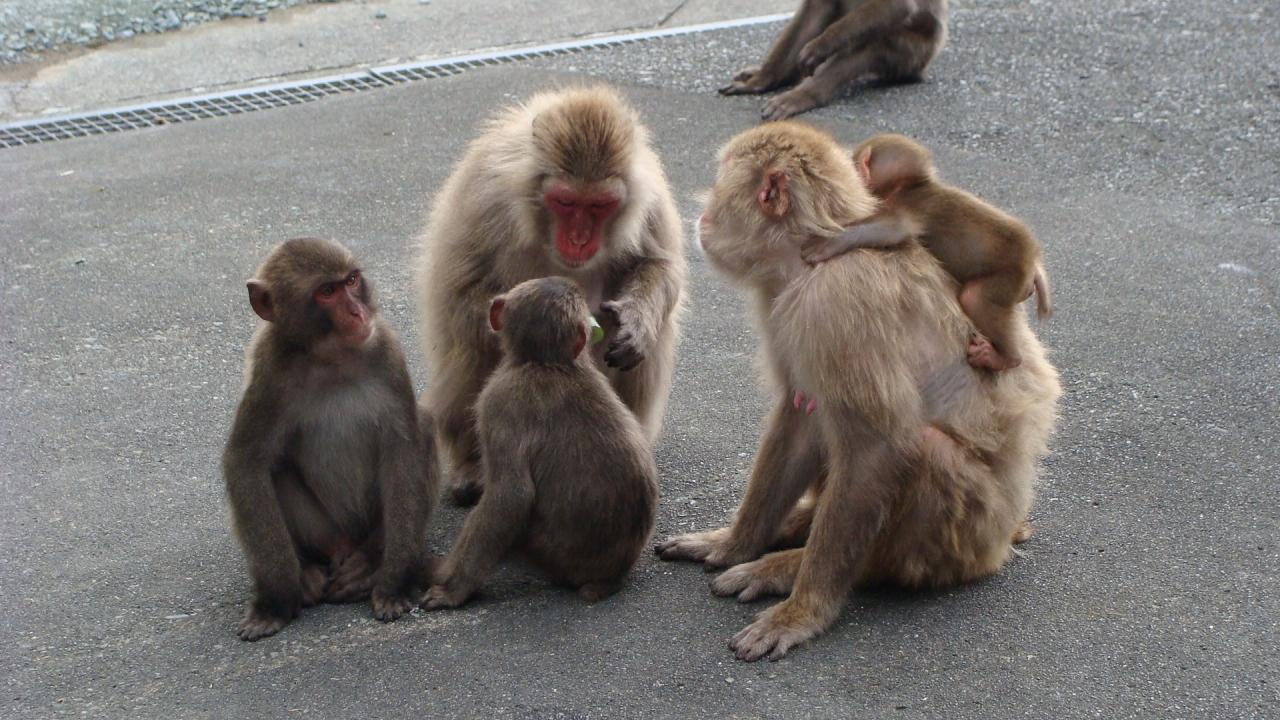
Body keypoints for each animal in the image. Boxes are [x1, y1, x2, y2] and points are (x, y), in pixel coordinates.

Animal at [222, 238, 438, 641]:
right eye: (326, 292)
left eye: (351, 281)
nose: (357, 311)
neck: (331, 359)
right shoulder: (269, 370)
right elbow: (246, 463)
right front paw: (276, 599)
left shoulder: (387, 348)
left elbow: (403, 449)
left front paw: (392, 583)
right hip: (324, 529)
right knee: (274, 468)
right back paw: (307, 568)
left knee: (426, 427)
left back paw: (368, 561)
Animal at [415, 86, 686, 507]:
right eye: (565, 202)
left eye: (600, 205)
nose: (579, 239)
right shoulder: (484, 194)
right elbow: (459, 292)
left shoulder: (651, 196)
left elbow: (659, 266)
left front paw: (636, 322)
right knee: (474, 344)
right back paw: (473, 467)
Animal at [422, 277, 659, 608]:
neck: (550, 363)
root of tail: (611, 576)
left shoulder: (496, 402)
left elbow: (512, 496)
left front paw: (453, 589)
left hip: (549, 551)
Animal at [720, 0, 948, 121]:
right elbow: (816, 7)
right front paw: (760, 81)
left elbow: (897, 6)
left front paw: (820, 46)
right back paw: (773, 76)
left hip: (913, 51)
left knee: (872, 43)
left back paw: (804, 95)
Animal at [799, 133, 1052, 371]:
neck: (911, 186)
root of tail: (1033, 266)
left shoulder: (906, 206)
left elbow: (892, 230)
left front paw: (826, 243)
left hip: (1010, 277)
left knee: (975, 298)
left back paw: (1006, 358)